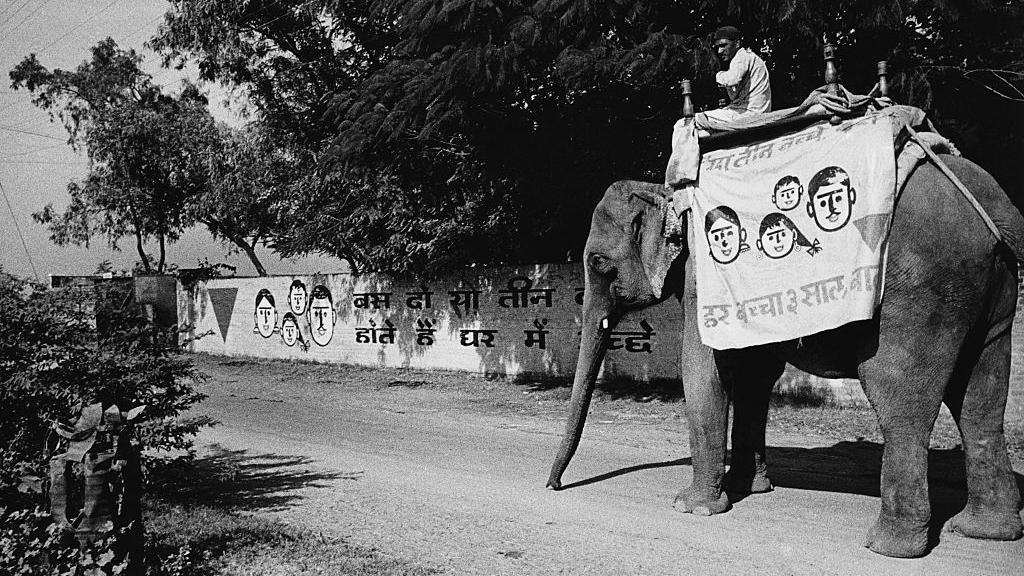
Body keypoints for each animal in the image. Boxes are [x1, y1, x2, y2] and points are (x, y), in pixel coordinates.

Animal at [548, 153, 1024, 557]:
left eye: (598, 262)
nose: (554, 486)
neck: (667, 193)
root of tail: (992, 214)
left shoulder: (705, 280)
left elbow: (702, 369)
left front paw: (691, 507)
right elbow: (755, 374)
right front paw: (750, 487)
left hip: (919, 299)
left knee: (900, 402)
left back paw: (888, 547)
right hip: (993, 297)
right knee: (981, 401)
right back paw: (985, 531)